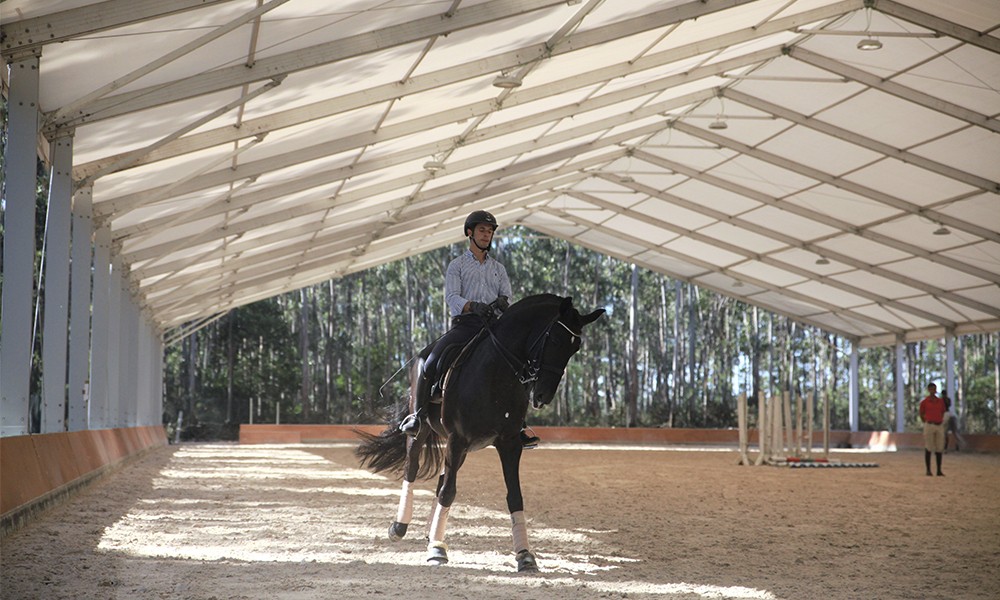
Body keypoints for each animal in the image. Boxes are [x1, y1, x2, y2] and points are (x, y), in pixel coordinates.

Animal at [355, 294, 604, 572]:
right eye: (556, 340)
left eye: (575, 348)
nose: (542, 396)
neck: (496, 374)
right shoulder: (457, 440)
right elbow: (449, 492)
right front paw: (437, 551)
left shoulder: (508, 443)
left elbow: (514, 496)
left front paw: (525, 555)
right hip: (422, 432)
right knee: (413, 468)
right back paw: (400, 527)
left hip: (464, 449)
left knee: (441, 480)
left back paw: (431, 533)